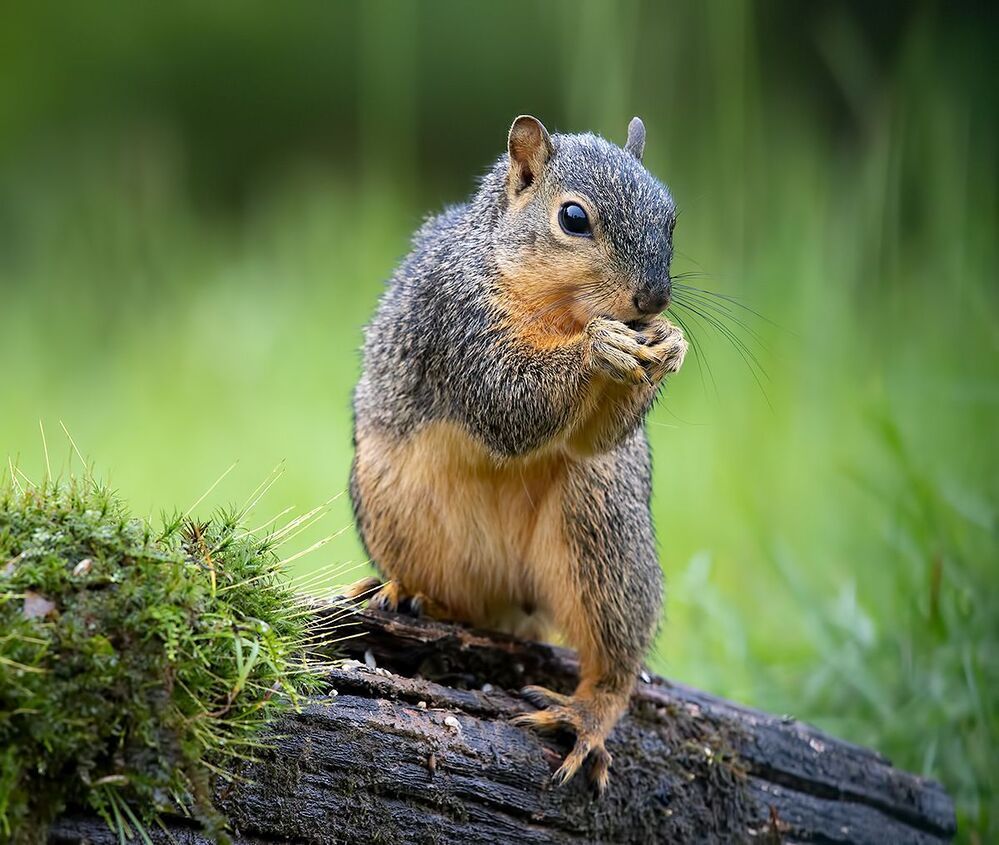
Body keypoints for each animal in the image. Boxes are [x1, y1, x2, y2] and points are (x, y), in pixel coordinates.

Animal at [347, 115, 687, 791]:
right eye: (574, 218)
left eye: (672, 218)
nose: (653, 300)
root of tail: (509, 598)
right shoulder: (456, 321)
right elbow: (508, 403)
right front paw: (600, 348)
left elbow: (591, 438)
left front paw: (670, 344)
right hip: (392, 506)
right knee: (452, 598)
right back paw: (408, 592)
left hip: (603, 521)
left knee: (614, 661)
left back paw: (586, 714)